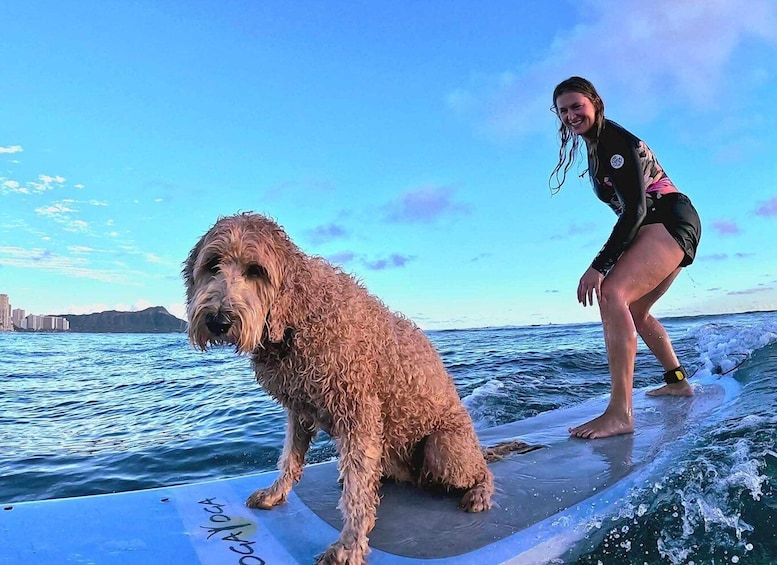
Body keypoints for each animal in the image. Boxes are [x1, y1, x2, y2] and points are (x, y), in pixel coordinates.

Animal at [184, 213, 520, 564]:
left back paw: (480, 491)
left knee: (482, 471)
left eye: (256, 270)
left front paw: (349, 545)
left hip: (444, 448)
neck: (300, 313)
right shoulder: (298, 410)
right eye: (213, 264)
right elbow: (290, 458)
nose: (217, 320)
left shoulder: (358, 412)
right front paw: (276, 493)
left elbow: (357, 492)